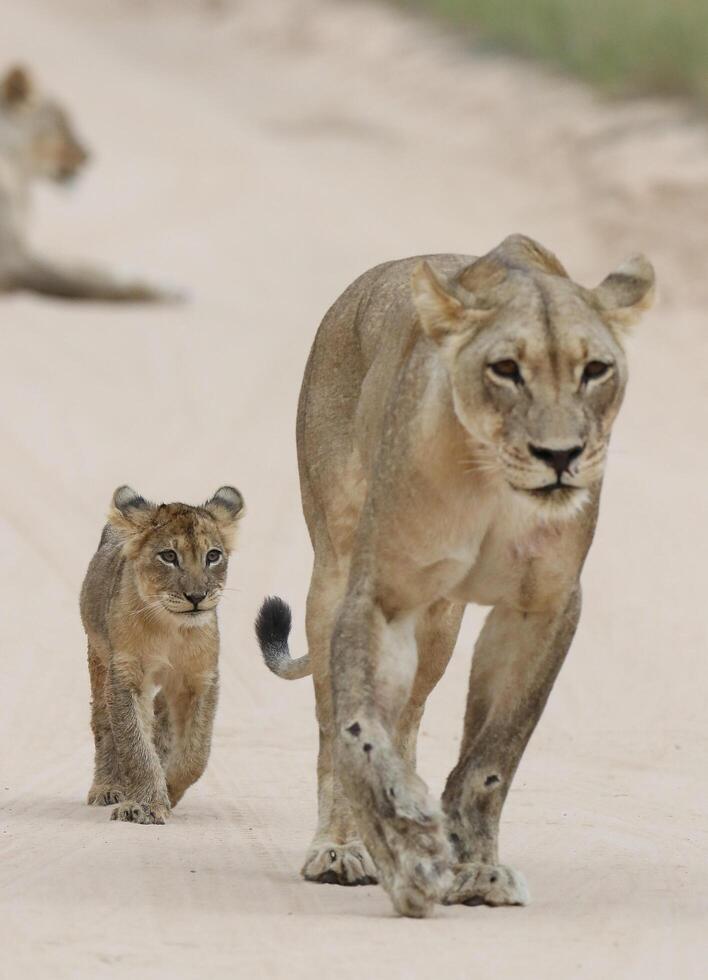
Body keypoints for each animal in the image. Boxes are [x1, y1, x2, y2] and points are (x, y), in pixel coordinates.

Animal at [0, 65, 176, 302]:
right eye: (62, 123)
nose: (89, 155)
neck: (19, 181)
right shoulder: (14, 261)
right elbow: (91, 284)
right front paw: (164, 290)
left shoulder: (25, 251)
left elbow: (84, 266)